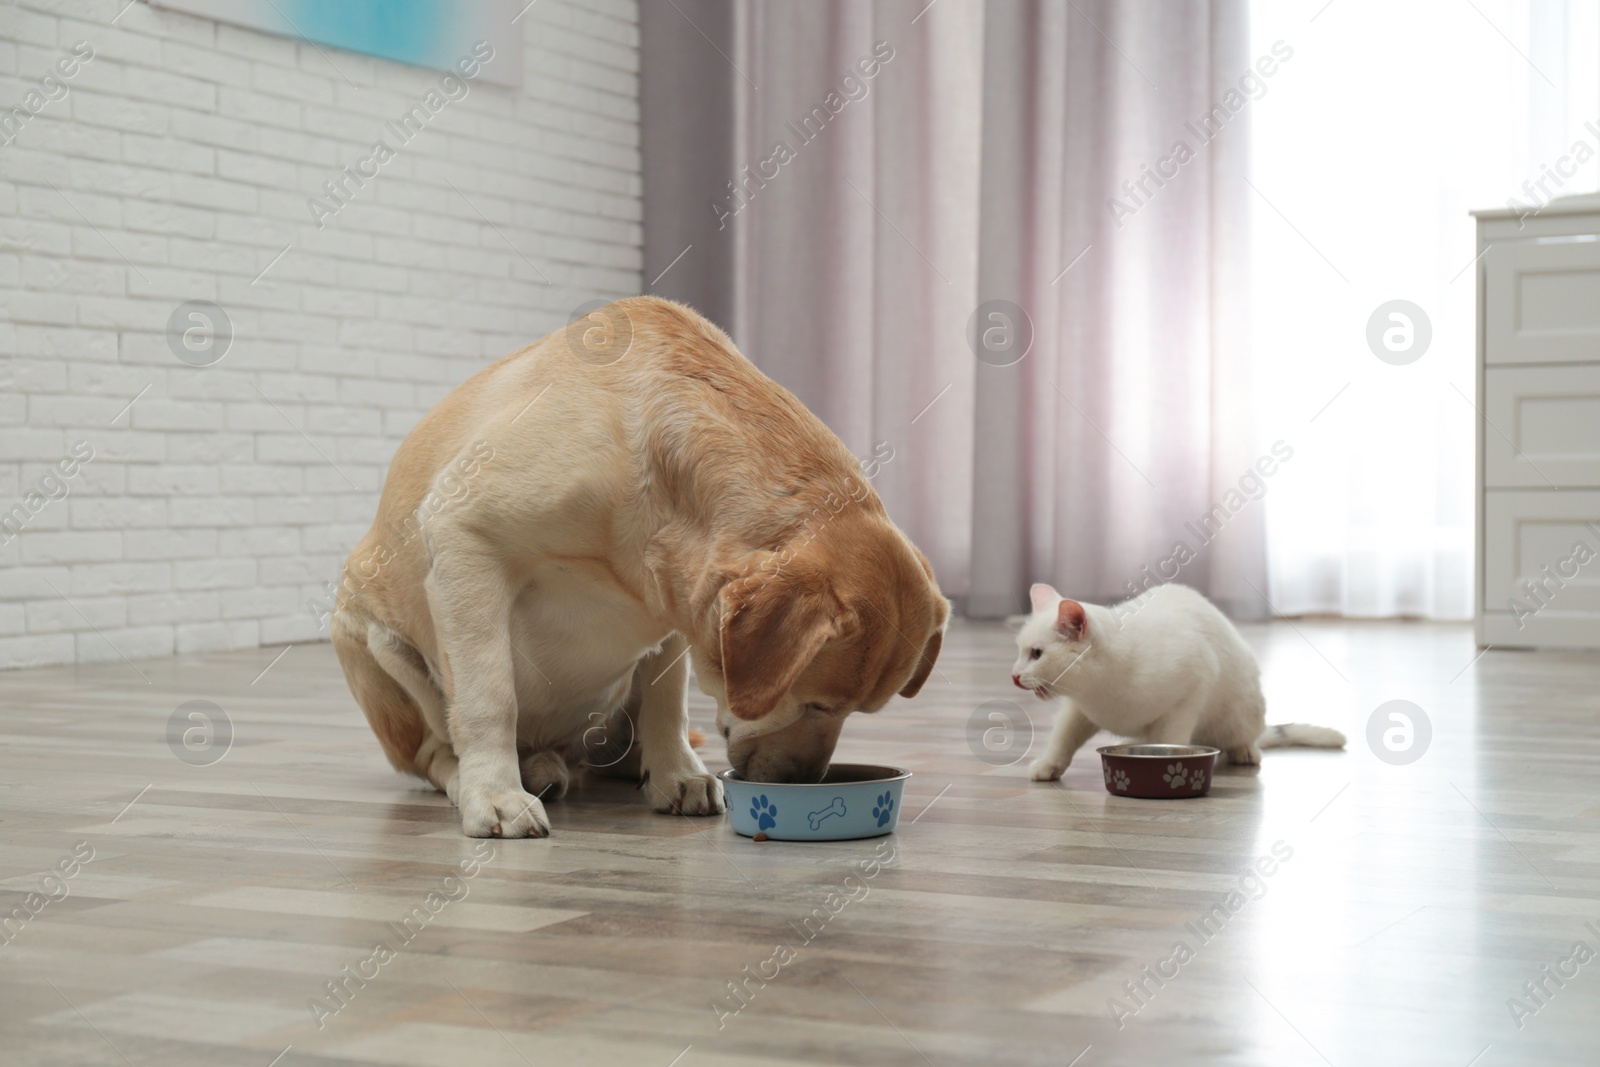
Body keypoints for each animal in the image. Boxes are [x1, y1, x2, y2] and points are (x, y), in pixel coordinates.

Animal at [329, 295, 940, 838]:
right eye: (817, 703)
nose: (804, 783)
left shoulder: (675, 607)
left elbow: (668, 703)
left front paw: (677, 775)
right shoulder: (464, 535)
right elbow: (489, 698)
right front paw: (495, 795)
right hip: (375, 639)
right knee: (435, 751)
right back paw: (493, 776)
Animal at [1017, 585, 1344, 783]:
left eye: (1037, 654)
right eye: (1019, 651)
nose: (1014, 676)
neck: (1100, 693)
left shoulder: (1191, 689)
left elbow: (1168, 742)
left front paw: (1167, 767)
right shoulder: (1077, 711)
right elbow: (1062, 739)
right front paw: (1048, 765)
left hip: (1242, 712)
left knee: (1246, 737)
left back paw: (1246, 752)